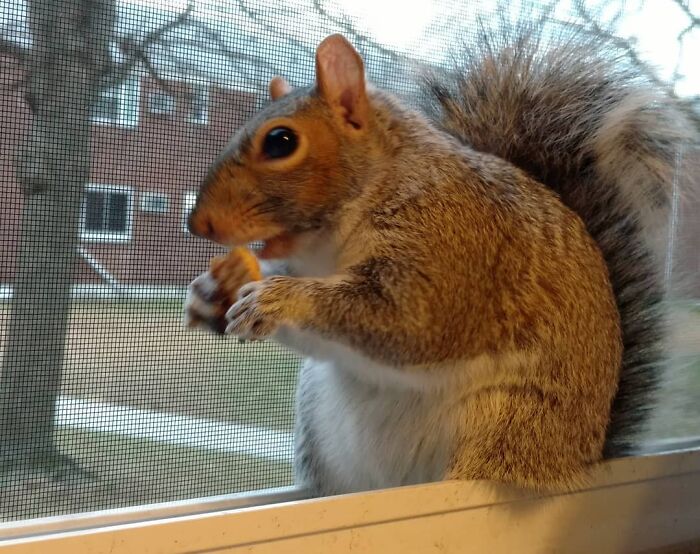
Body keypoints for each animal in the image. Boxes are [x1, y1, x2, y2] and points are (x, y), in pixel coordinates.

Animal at [184, 21, 697, 496]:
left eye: (281, 142)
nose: (198, 224)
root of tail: (579, 459)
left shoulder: (453, 248)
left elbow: (410, 320)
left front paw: (279, 298)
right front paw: (214, 291)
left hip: (509, 425)